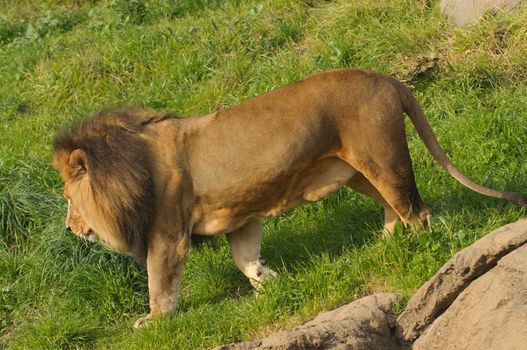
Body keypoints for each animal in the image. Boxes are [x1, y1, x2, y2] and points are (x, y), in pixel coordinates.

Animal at [50, 69, 527, 328]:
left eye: (68, 199)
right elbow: (245, 258)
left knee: (416, 209)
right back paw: (384, 245)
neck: (131, 166)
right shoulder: (240, 216)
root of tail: (385, 78)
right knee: (392, 207)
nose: (69, 227)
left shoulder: (167, 236)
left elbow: (159, 285)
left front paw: (153, 322)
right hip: (356, 171)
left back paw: (418, 249)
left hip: (382, 158)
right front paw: (271, 283)